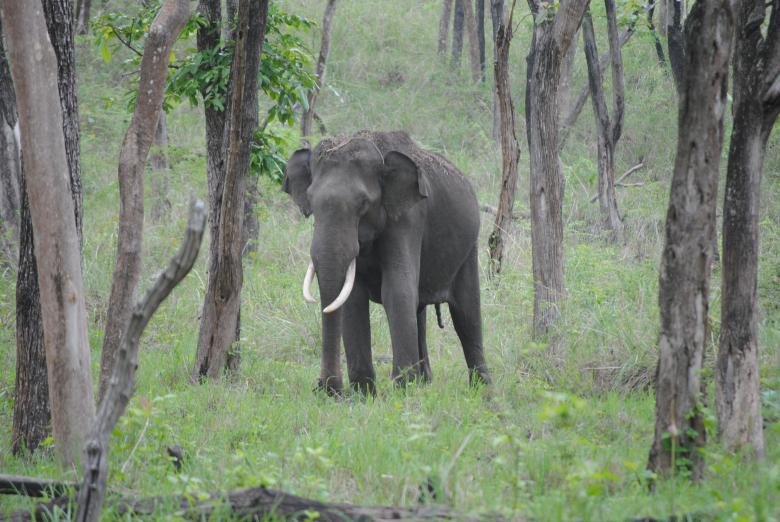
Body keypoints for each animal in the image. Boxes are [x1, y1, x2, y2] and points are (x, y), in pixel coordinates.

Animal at [283, 130, 490, 395]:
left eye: (363, 203)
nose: (327, 389)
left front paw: (400, 390)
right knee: (419, 310)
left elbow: (397, 291)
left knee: (466, 314)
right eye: (310, 200)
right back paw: (424, 383)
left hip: (469, 246)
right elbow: (353, 297)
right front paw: (363, 394)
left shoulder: (408, 218)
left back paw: (482, 390)